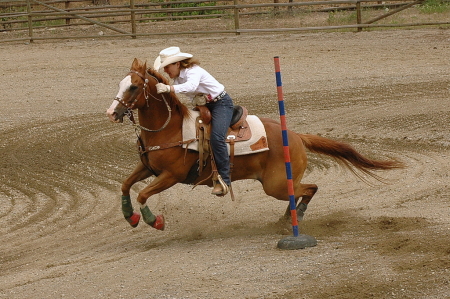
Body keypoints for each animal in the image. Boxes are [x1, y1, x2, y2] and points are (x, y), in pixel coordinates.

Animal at [105, 58, 404, 231]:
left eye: (133, 87)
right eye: (120, 84)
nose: (112, 113)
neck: (170, 129)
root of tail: (296, 135)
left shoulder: (171, 176)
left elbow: (143, 194)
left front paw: (154, 220)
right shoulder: (148, 168)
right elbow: (126, 185)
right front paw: (129, 216)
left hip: (276, 184)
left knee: (310, 188)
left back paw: (294, 219)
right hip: (279, 183)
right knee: (302, 191)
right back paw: (286, 220)